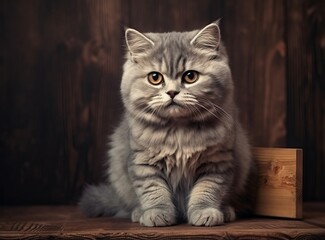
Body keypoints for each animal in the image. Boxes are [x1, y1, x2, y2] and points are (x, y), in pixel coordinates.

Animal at [79, 21, 254, 226]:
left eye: (190, 76)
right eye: (155, 78)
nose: (172, 92)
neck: (179, 130)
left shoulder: (217, 162)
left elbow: (207, 191)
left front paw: (205, 212)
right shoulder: (143, 162)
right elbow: (154, 191)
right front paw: (157, 214)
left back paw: (225, 211)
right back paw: (138, 212)